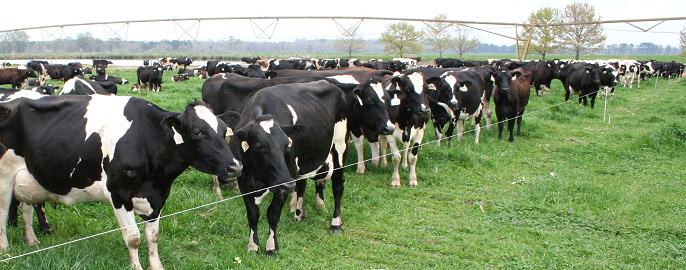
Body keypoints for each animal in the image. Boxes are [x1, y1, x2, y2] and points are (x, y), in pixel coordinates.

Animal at [0, 96, 243, 268]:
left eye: (224, 130)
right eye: (197, 132)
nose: (235, 167)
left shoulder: (158, 195)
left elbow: (153, 237)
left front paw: (156, 266)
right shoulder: (118, 193)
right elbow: (134, 238)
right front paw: (136, 266)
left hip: (28, 178)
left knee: (26, 207)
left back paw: (32, 241)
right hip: (4, 177)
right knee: (3, 212)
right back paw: (5, 249)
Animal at [231, 80, 350, 255]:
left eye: (287, 145)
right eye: (259, 147)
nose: (287, 184)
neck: (259, 178)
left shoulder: (285, 180)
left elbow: (273, 213)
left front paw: (271, 247)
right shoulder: (244, 179)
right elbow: (253, 214)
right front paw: (252, 246)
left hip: (340, 145)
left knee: (338, 185)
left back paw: (335, 224)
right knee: (302, 185)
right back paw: (299, 215)